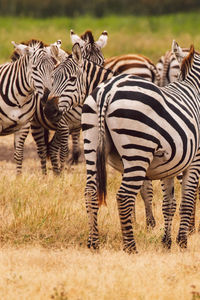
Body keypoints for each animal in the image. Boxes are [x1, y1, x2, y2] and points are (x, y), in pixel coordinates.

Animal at [81, 39, 200, 251]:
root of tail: (107, 91)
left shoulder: (169, 166)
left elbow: (169, 204)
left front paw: (166, 242)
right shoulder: (194, 160)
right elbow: (186, 202)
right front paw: (182, 243)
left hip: (91, 143)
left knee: (91, 192)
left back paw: (93, 242)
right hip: (137, 150)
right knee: (124, 196)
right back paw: (131, 248)